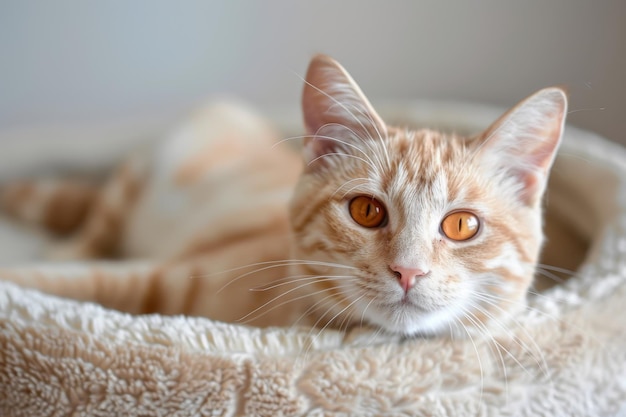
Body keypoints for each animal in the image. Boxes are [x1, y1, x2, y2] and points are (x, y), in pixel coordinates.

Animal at [1, 54, 564, 334]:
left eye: (462, 225)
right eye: (366, 211)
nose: (408, 271)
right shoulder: (156, 276)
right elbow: (71, 280)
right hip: (140, 171)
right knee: (95, 225)